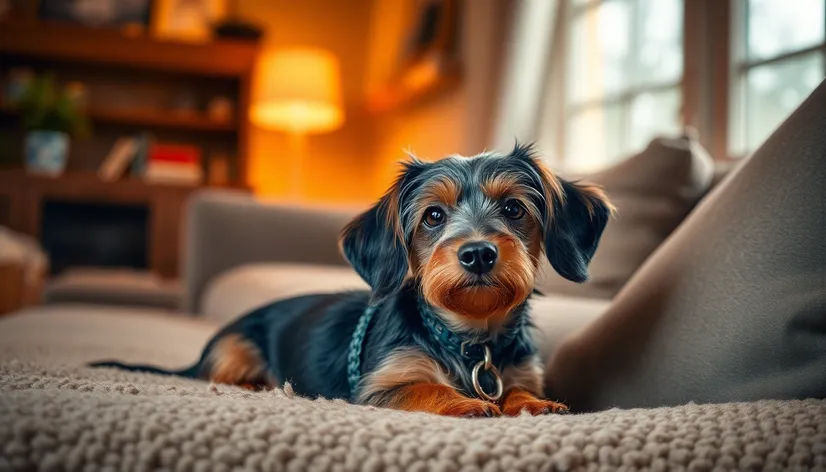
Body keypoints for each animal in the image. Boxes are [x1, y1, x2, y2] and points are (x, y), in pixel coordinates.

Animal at [95, 144, 612, 416]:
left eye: (513, 209)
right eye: (433, 216)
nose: (479, 253)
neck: (470, 340)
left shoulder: (519, 369)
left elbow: (522, 390)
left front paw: (533, 404)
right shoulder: (380, 386)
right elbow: (426, 387)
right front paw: (465, 404)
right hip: (235, 350)